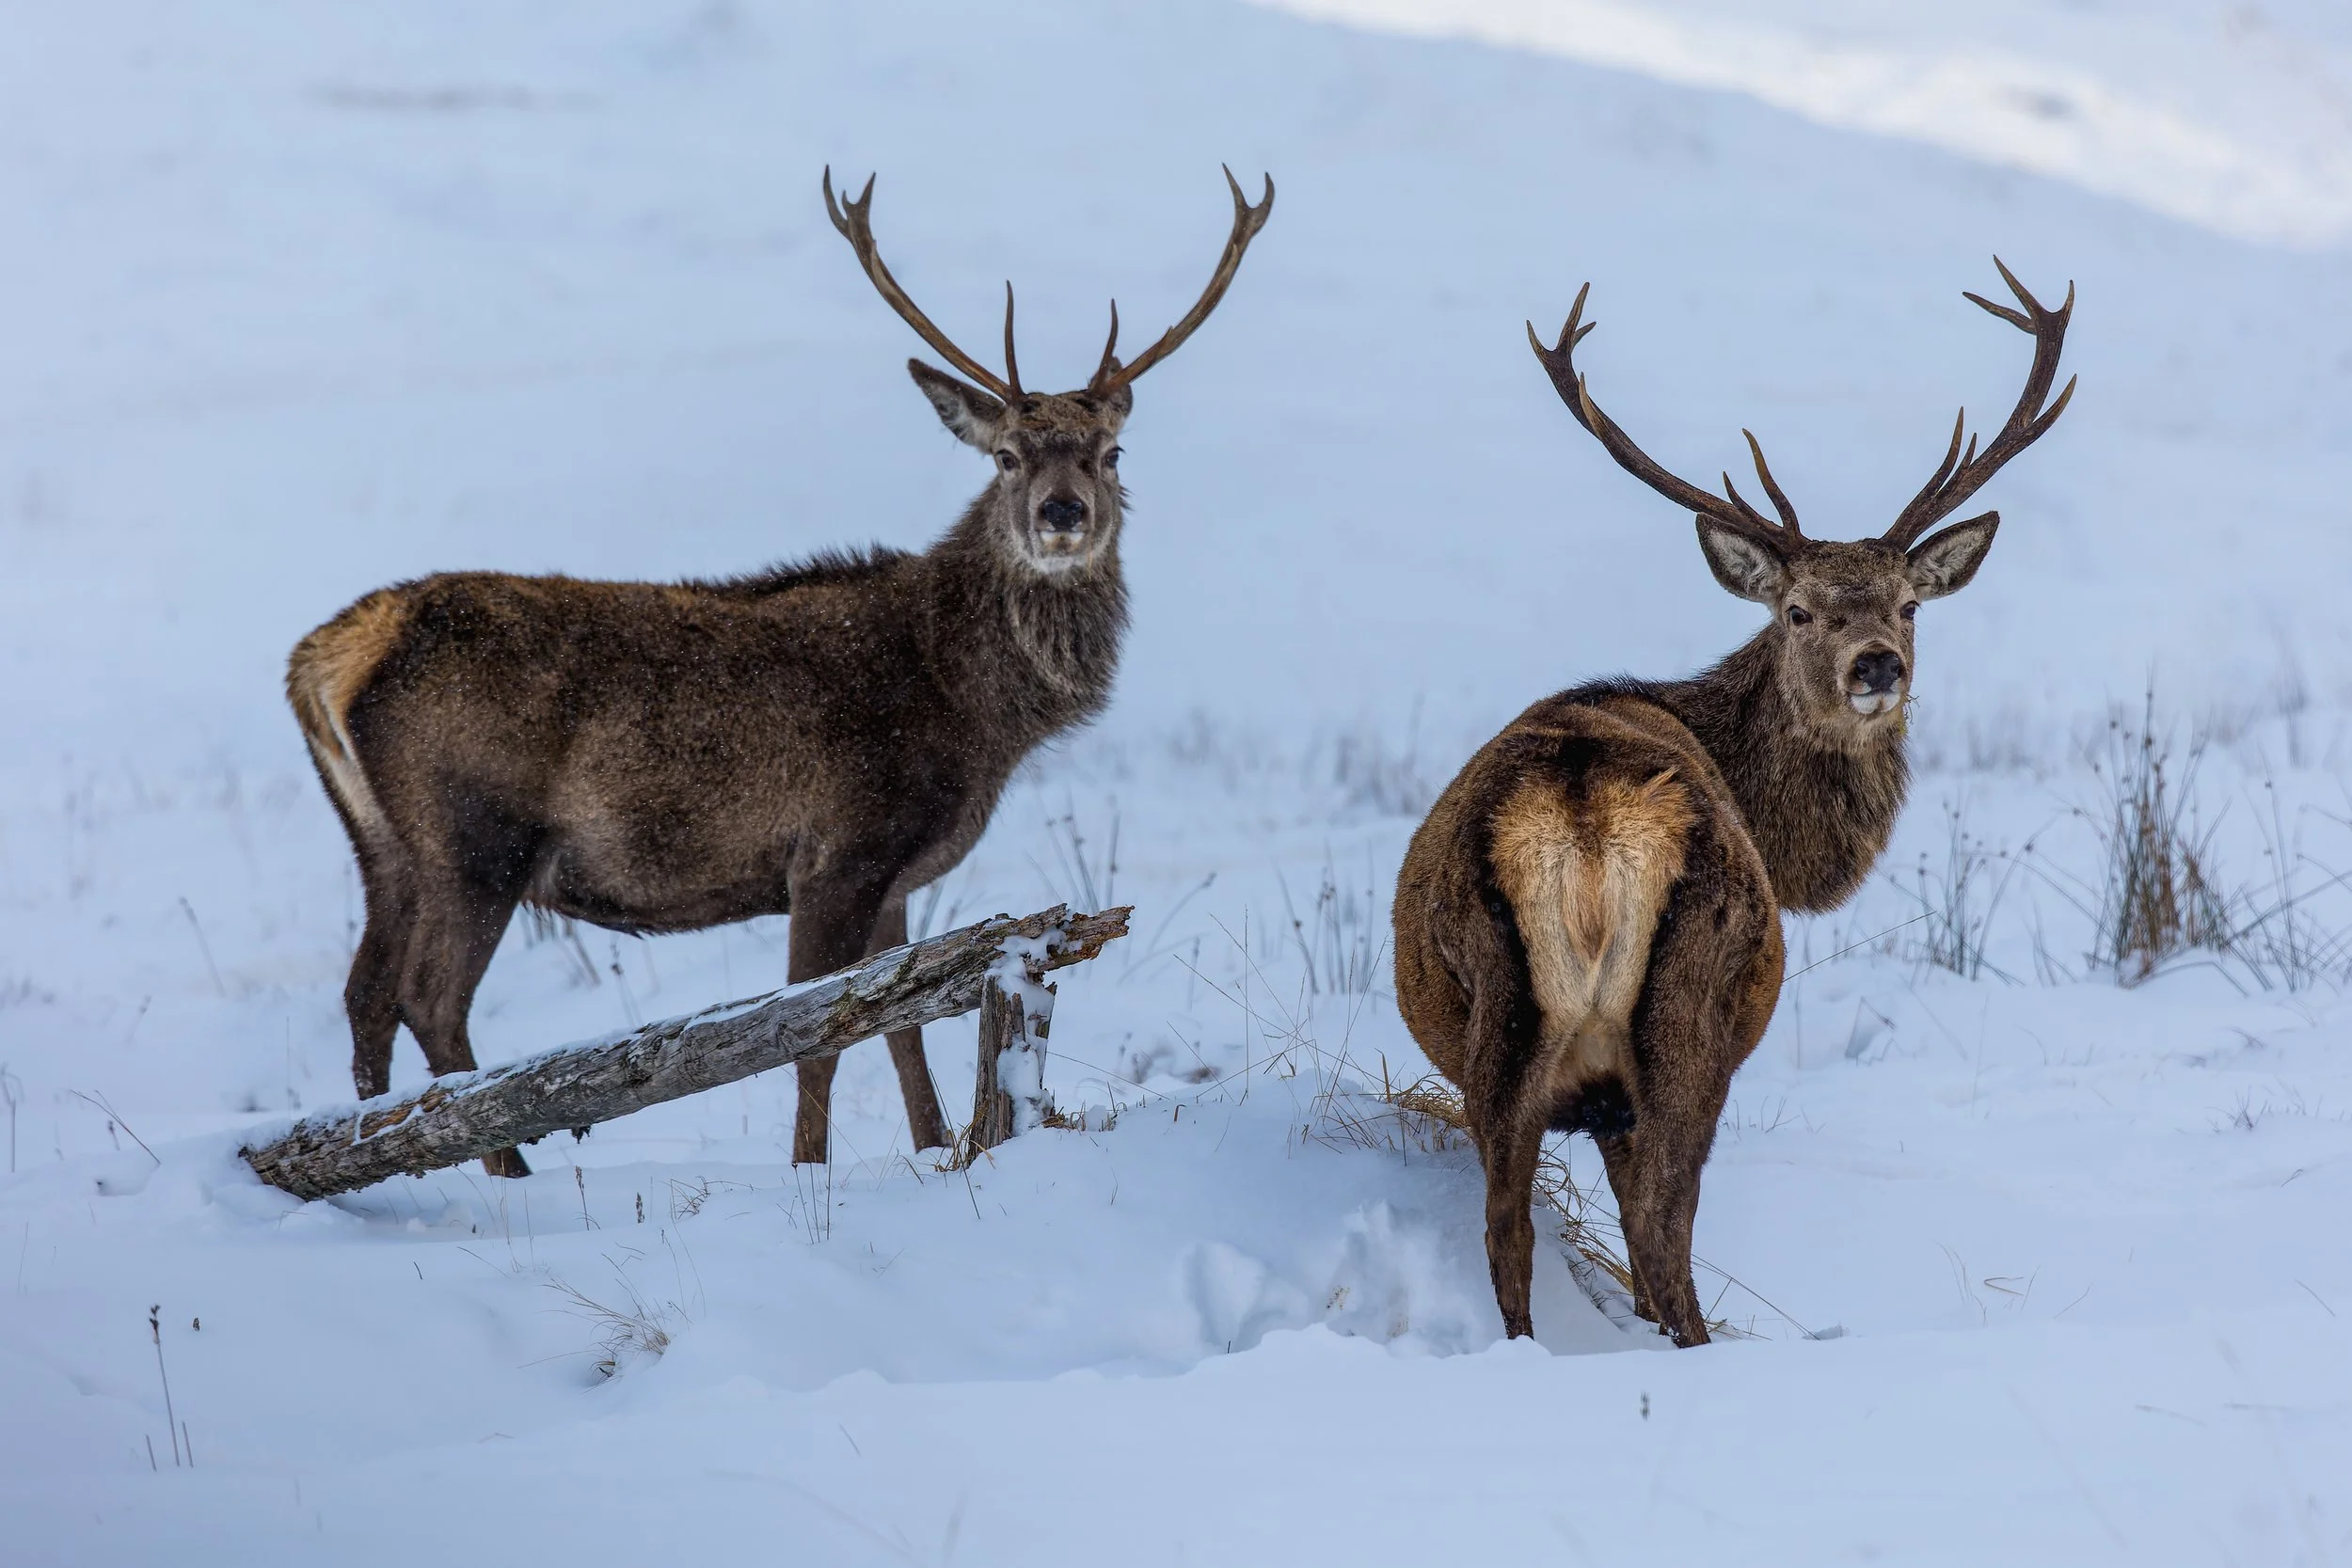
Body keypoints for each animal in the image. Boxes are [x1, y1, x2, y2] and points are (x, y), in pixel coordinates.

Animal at [287, 167, 1273, 1176]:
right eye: (1006, 456)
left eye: (1111, 452)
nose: (1063, 512)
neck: (971, 710)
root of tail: (325, 657)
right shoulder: (836, 851)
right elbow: (815, 1037)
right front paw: (809, 1171)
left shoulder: (897, 874)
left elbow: (902, 1026)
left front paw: (932, 1149)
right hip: (477, 834)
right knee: (430, 1000)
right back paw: (506, 1177)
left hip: (385, 845)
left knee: (365, 998)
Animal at [1393, 262, 2073, 1345]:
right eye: (1796, 611)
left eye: (1908, 606)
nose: (1876, 664)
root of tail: (1585, 816)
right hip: (1692, 1012)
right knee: (1663, 1225)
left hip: (1496, 1022)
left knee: (1507, 1226)